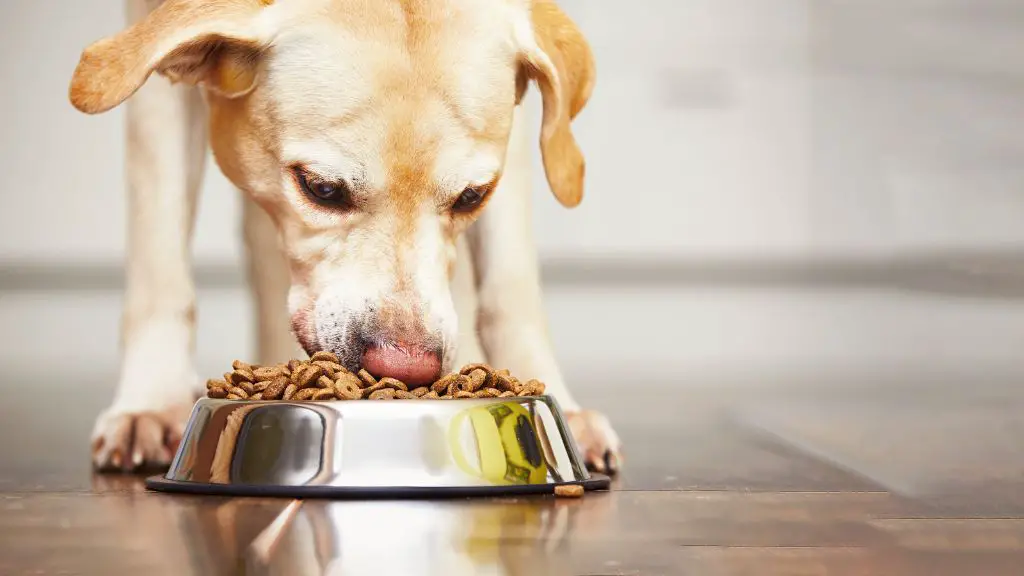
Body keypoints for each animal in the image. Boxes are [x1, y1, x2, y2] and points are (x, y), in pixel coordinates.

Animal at [70, 0, 622, 473]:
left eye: (471, 197)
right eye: (321, 188)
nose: (408, 368)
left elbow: (511, 284)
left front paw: (554, 404)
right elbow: (159, 261)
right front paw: (152, 402)